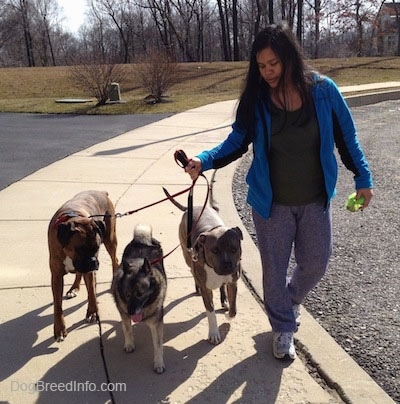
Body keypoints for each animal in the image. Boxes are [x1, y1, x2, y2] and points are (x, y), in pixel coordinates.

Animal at [47, 191, 118, 342]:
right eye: (80, 249)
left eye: (97, 248)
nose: (93, 262)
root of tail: (101, 192)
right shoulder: (56, 276)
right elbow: (57, 305)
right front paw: (59, 328)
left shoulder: (89, 272)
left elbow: (91, 292)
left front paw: (92, 313)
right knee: (79, 273)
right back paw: (74, 288)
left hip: (110, 239)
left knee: (115, 260)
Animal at [111, 224, 166, 372]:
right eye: (127, 294)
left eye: (140, 294)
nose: (130, 312)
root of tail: (141, 240)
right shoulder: (124, 314)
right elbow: (128, 330)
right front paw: (129, 344)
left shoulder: (156, 324)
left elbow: (158, 345)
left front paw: (159, 363)